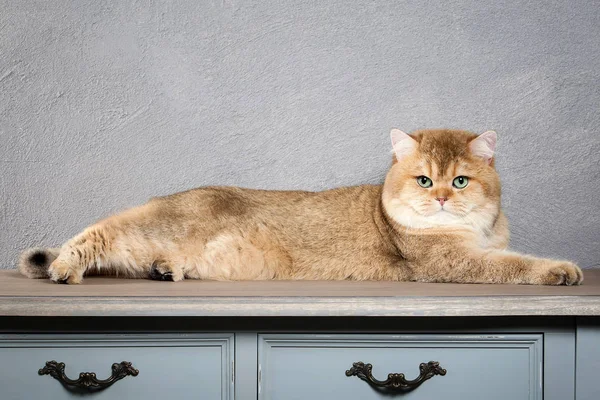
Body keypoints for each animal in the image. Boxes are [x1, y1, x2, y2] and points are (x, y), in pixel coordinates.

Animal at [17, 128, 580, 284]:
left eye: (460, 181)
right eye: (424, 179)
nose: (441, 197)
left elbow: (509, 254)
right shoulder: (449, 262)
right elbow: (514, 265)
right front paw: (561, 269)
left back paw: (165, 271)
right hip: (152, 228)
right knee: (97, 234)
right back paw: (62, 267)